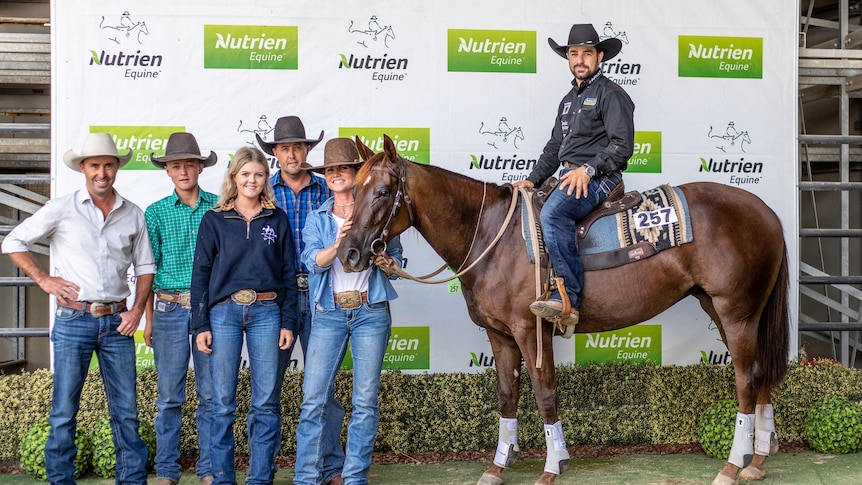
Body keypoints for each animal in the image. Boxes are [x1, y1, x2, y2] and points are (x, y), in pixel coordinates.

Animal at [338, 136, 788, 484]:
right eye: (353, 192)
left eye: (382, 192)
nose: (349, 254)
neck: (491, 235)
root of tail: (768, 213)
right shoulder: (499, 334)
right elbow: (507, 395)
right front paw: (497, 467)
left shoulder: (530, 330)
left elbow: (545, 392)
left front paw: (553, 465)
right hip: (726, 309)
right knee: (761, 373)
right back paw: (758, 462)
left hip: (736, 312)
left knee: (746, 379)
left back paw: (733, 465)